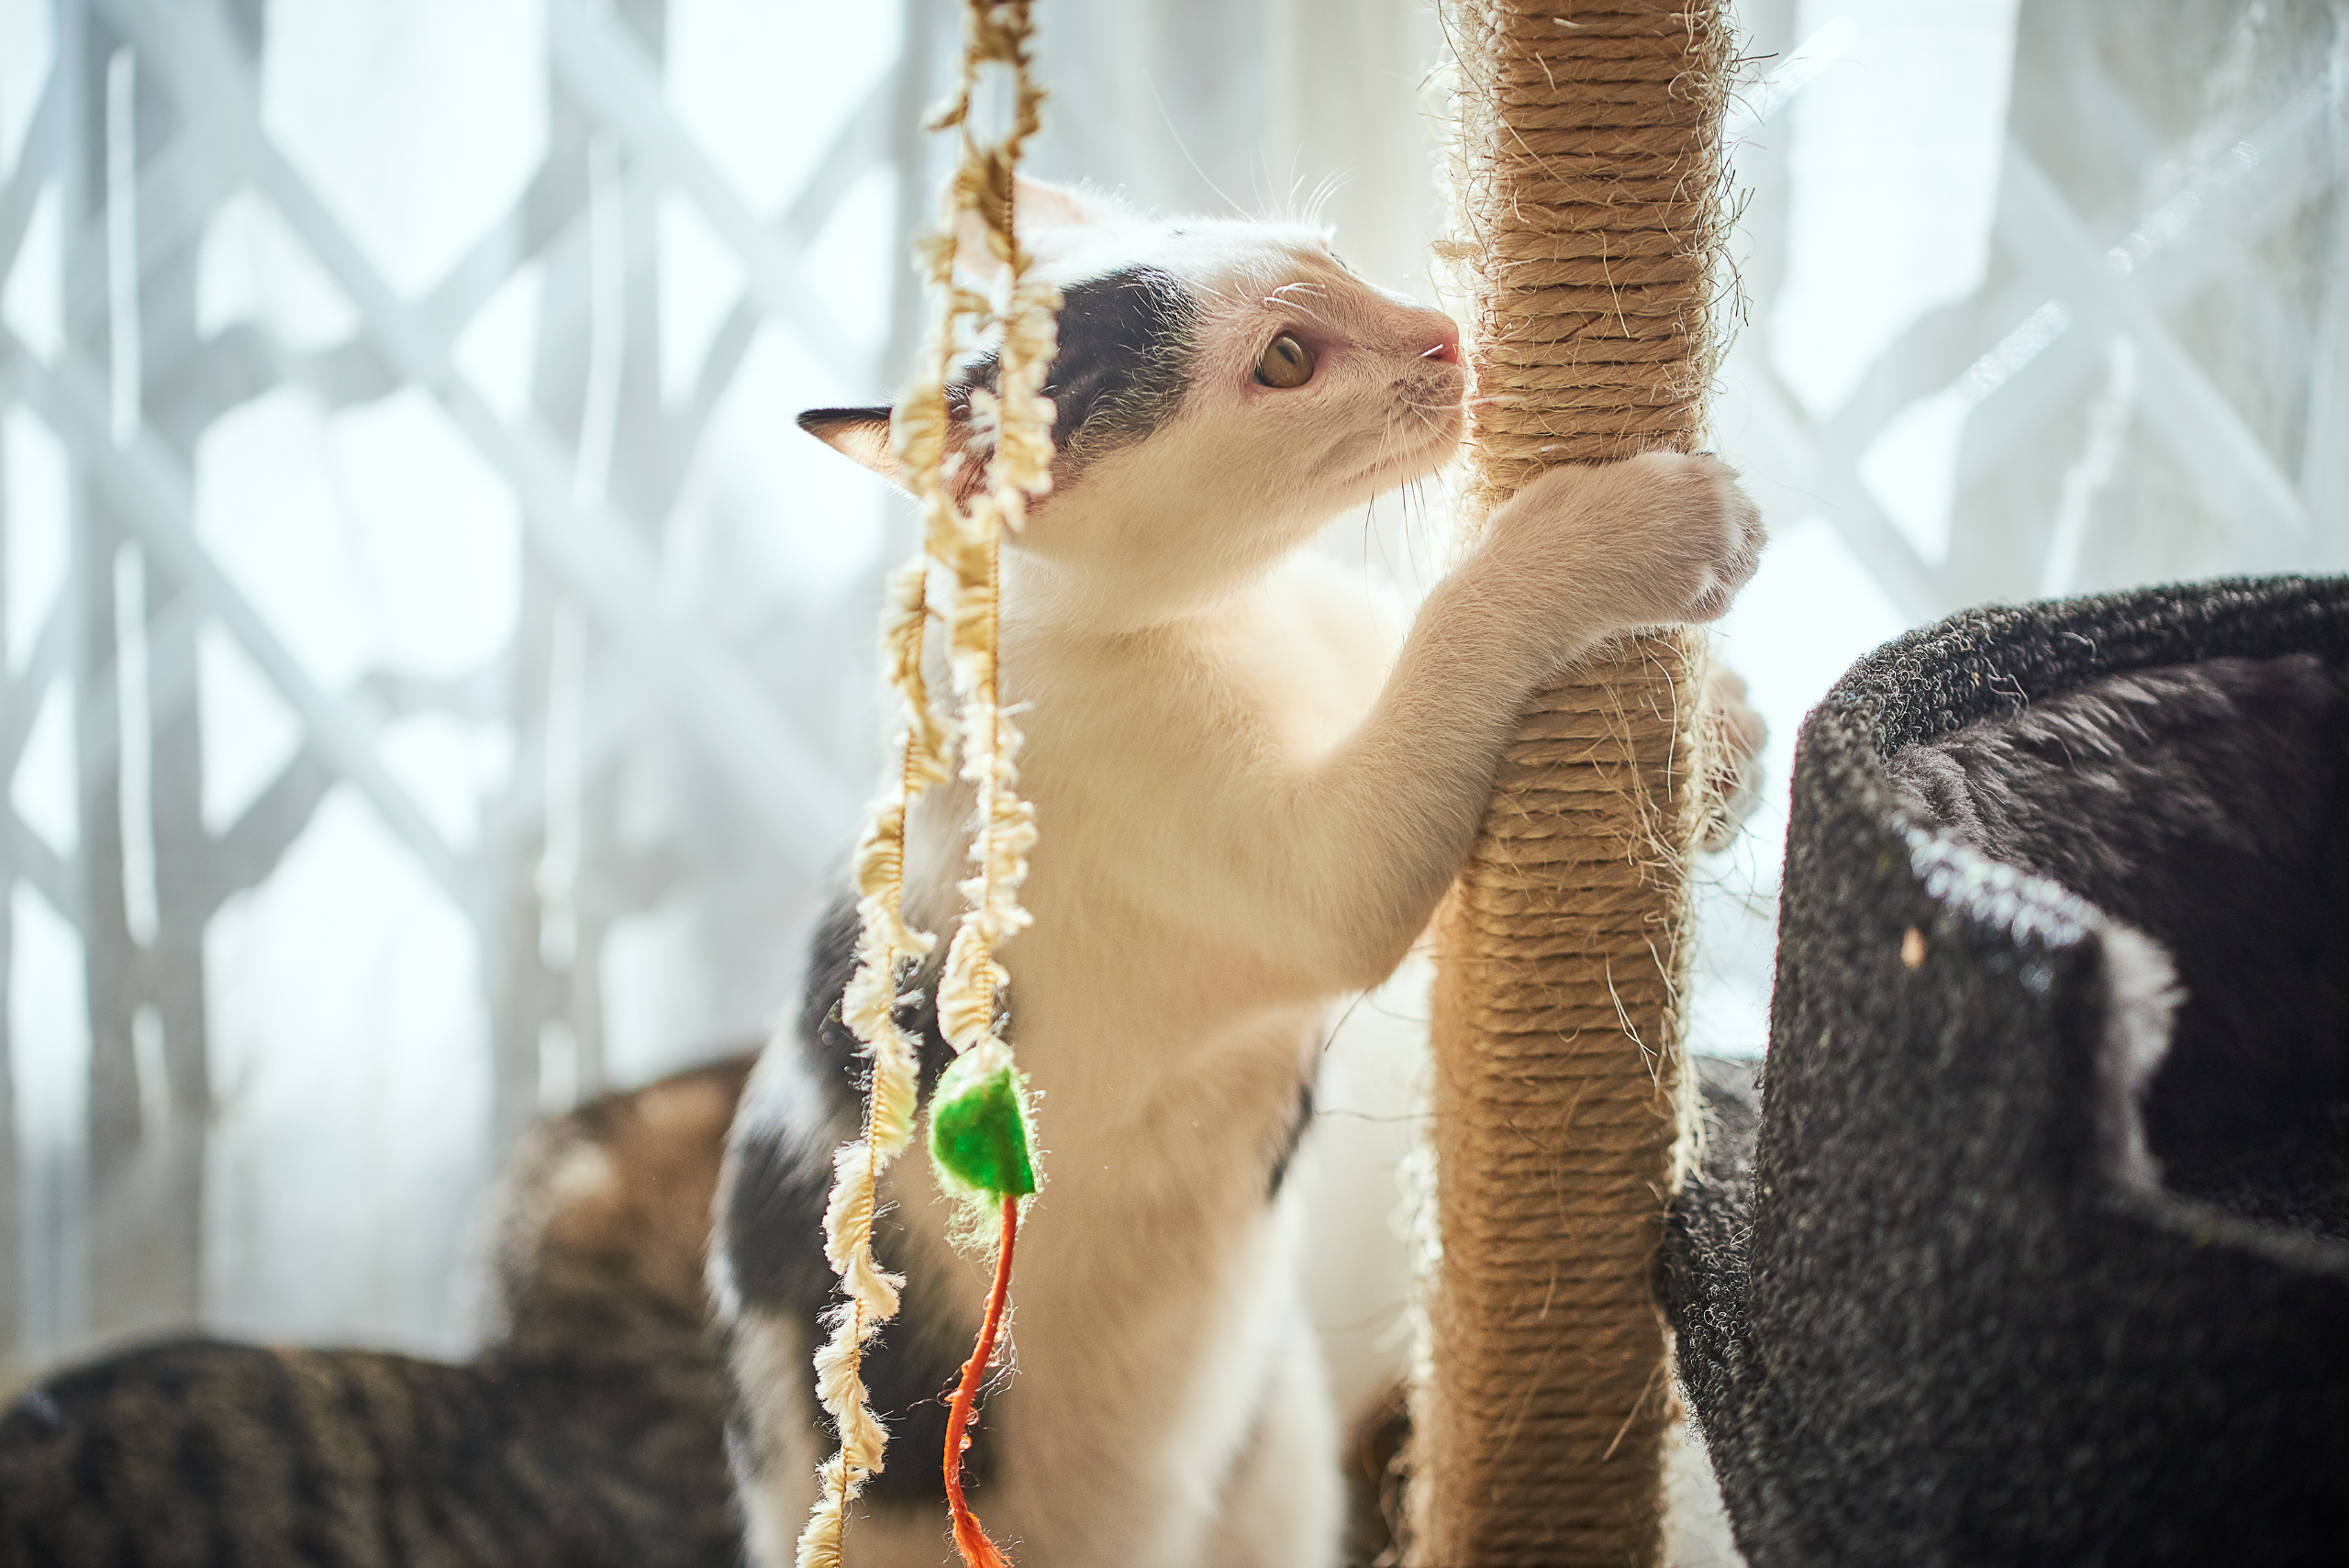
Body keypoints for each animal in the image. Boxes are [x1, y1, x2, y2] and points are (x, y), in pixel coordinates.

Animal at [714, 180, 1766, 1568]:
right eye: (1285, 362)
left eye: (1329, 259)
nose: (1445, 337)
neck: (1239, 620)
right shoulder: (1319, 870)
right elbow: (1458, 624)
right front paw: (1634, 531)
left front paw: (1723, 748)